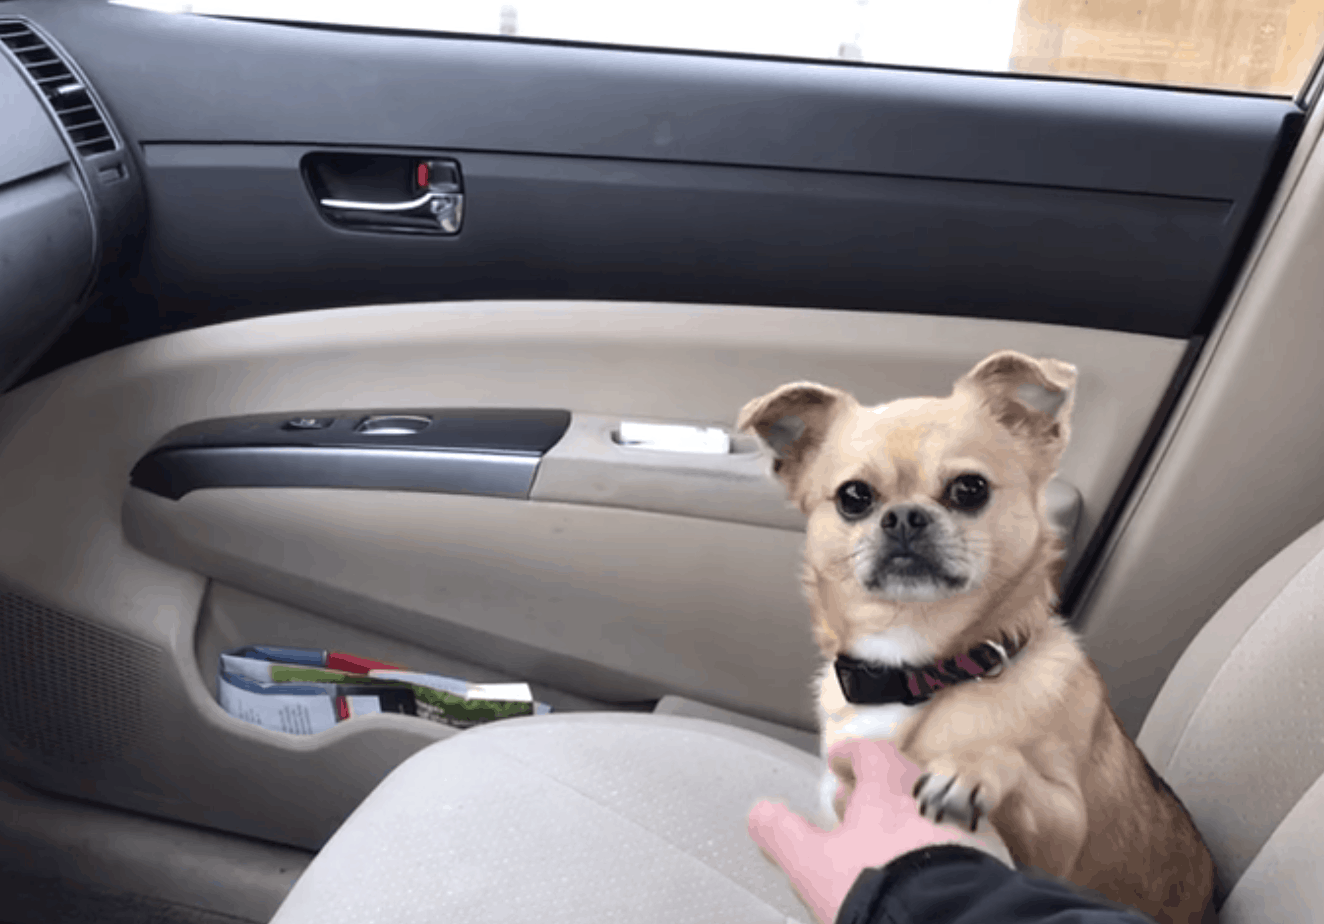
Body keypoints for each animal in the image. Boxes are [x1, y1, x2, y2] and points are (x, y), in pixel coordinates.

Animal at [738, 350, 1217, 924]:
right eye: (854, 497)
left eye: (970, 489)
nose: (904, 516)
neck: (919, 670)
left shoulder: (1061, 840)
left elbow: (1015, 770)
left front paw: (972, 768)